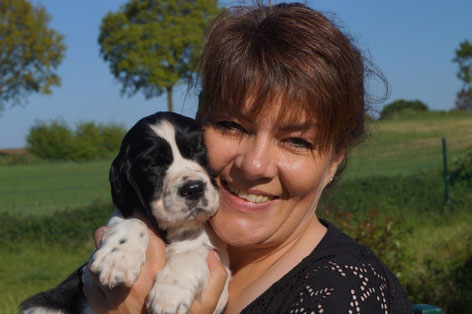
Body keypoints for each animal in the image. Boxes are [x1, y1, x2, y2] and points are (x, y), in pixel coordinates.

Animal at [21, 112, 230, 314]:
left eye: (198, 150)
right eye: (152, 164)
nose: (193, 189)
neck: (174, 232)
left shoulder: (222, 283)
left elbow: (197, 251)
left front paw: (169, 294)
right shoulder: (88, 272)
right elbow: (135, 222)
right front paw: (116, 260)